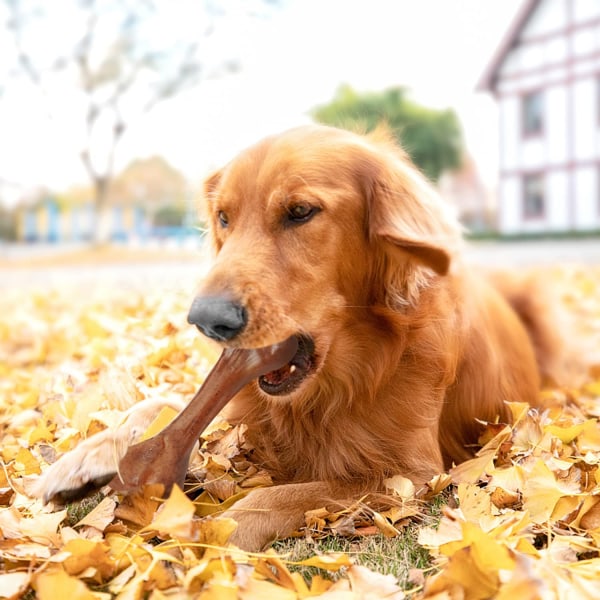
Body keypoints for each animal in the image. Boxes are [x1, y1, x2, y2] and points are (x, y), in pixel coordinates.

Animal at [32, 124, 560, 552]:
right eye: (224, 217)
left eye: (301, 211)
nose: (206, 320)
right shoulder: (245, 407)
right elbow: (163, 405)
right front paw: (83, 460)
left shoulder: (413, 474)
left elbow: (282, 493)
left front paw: (212, 534)